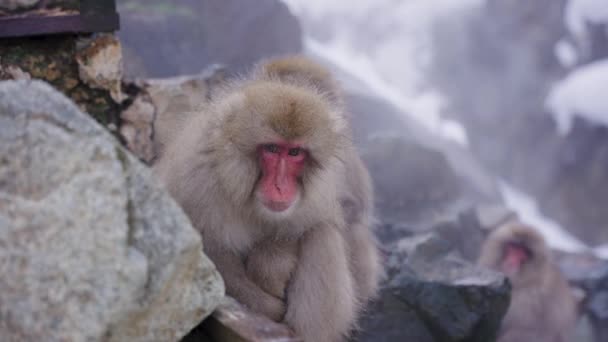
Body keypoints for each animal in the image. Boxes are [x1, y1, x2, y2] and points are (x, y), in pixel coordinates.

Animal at [153, 56, 380, 342]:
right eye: (272, 149)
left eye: (295, 153)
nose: (280, 187)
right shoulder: (196, 180)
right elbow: (211, 257)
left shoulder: (325, 186)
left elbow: (317, 222)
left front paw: (272, 261)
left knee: (322, 235)